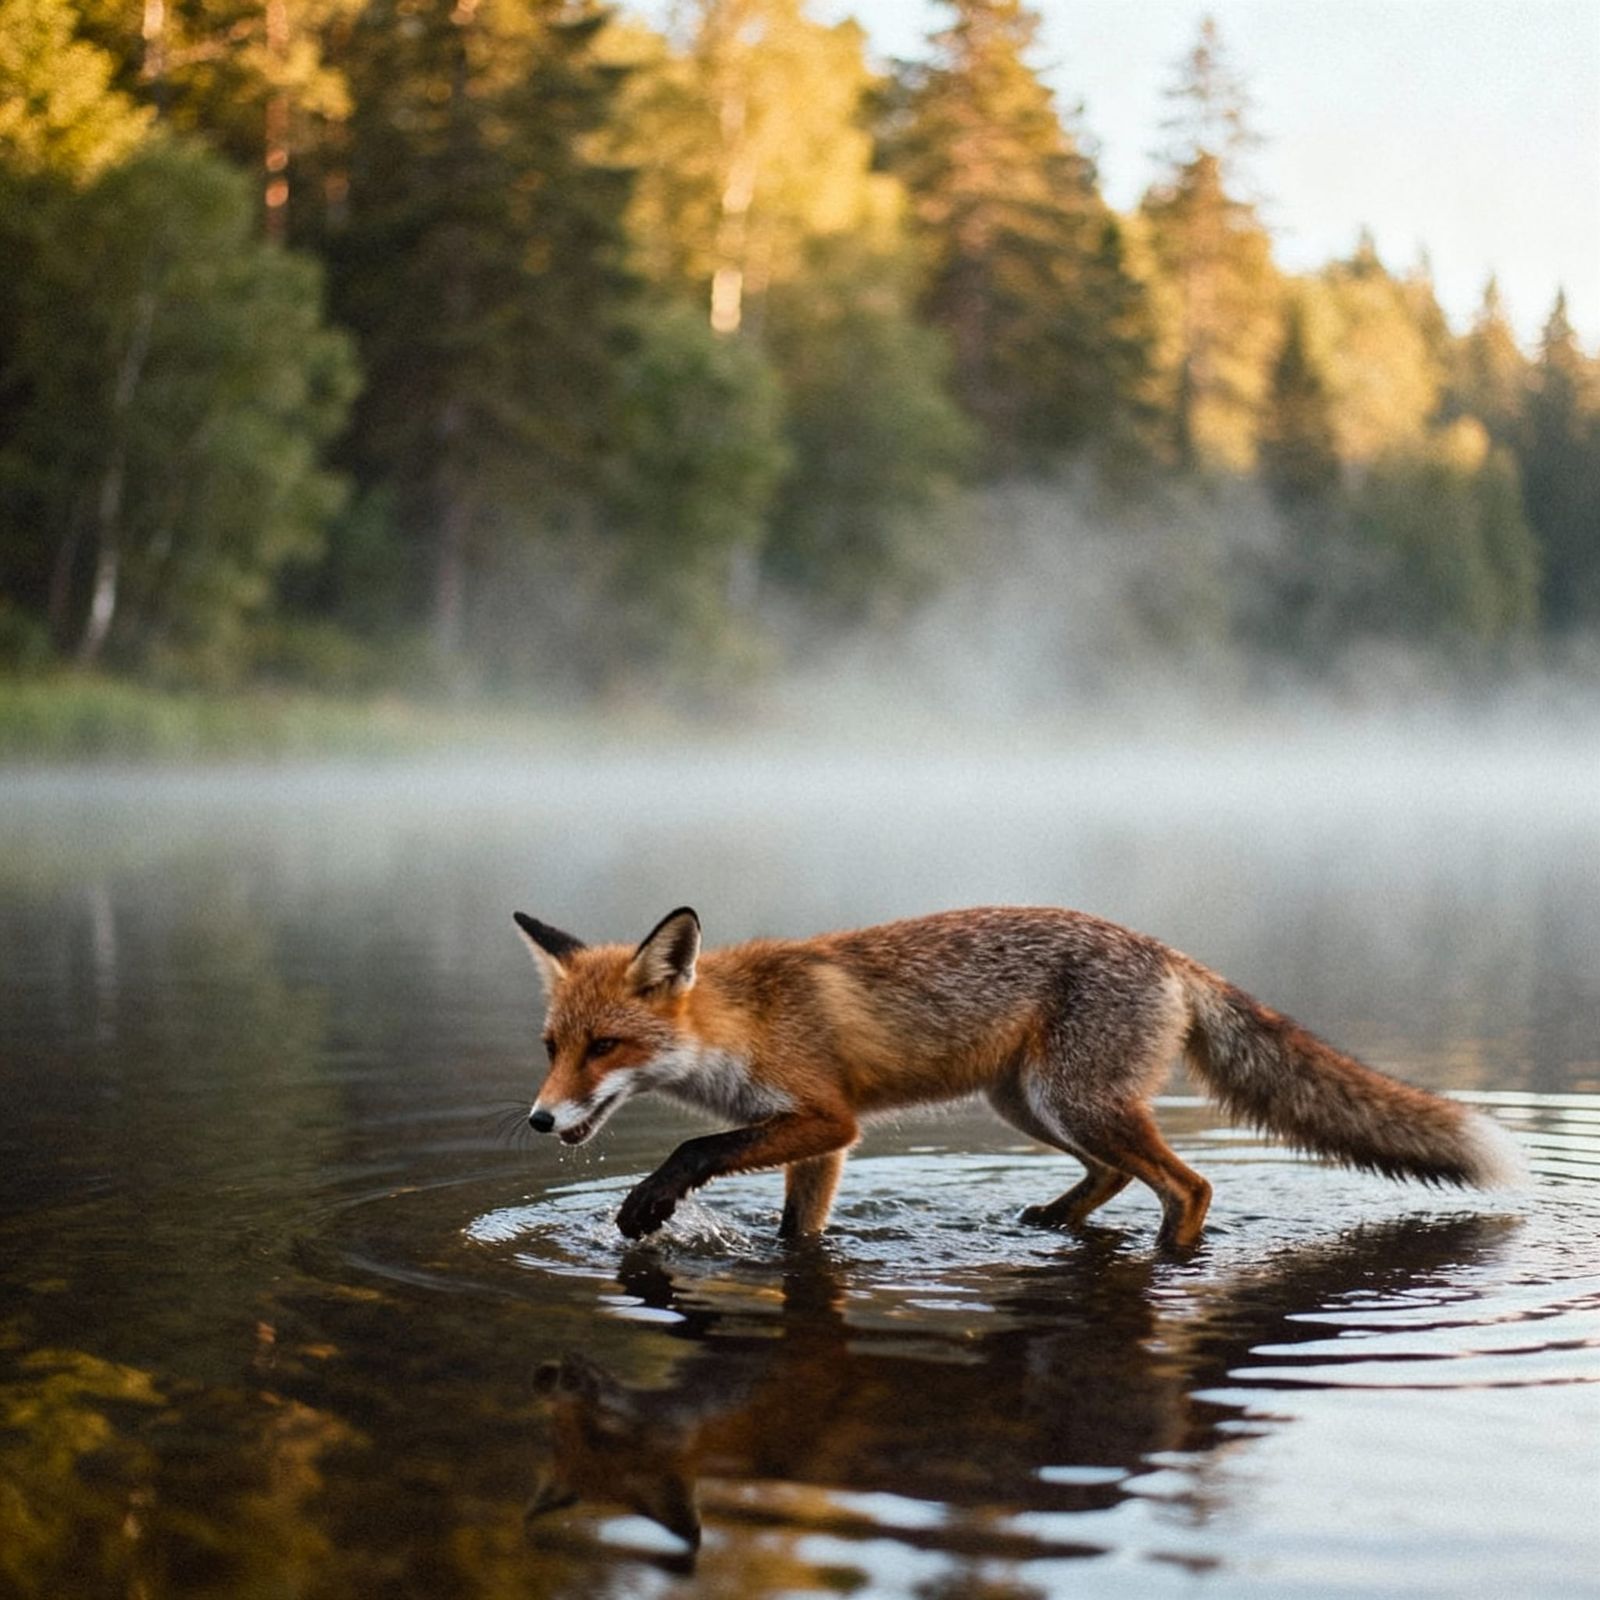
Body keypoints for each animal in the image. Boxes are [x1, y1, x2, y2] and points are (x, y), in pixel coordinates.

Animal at [513, 904, 1526, 1249]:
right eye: (552, 1047)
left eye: (606, 1046)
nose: (537, 1120)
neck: (744, 1023)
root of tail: (1171, 953)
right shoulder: (822, 1145)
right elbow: (800, 1233)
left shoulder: (829, 1119)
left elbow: (695, 1145)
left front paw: (647, 1204)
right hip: (1033, 1105)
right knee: (1117, 1175)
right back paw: (1050, 1223)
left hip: (1074, 1101)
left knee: (1190, 1187)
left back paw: (1168, 1258)